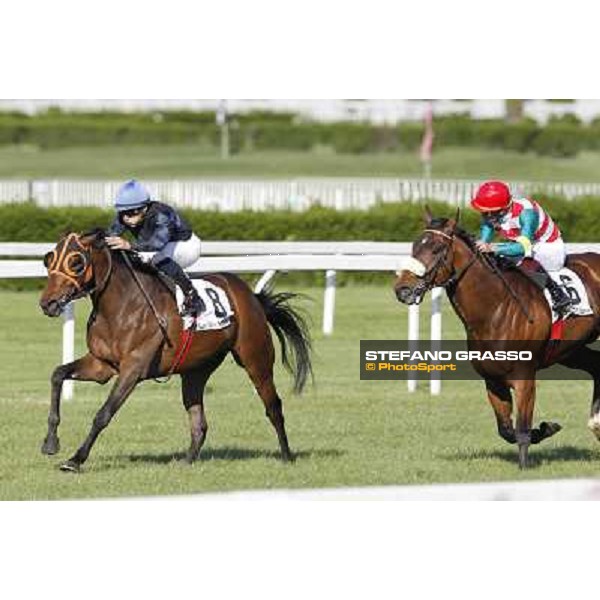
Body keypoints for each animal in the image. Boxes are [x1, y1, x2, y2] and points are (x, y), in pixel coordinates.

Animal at [38, 230, 314, 474]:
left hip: (256, 358)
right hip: (195, 371)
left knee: (273, 406)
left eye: (76, 261)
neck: (121, 306)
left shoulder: (132, 369)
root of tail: (251, 295)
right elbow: (57, 374)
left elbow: (103, 414)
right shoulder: (101, 365)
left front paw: (75, 460)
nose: (47, 303)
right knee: (199, 422)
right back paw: (187, 460)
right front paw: (50, 442)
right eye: (48, 259)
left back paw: (287, 456)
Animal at [394, 210, 600, 468]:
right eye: (414, 246)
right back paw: (596, 423)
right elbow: (506, 430)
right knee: (596, 366)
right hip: (571, 350)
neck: (495, 309)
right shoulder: (492, 379)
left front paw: (524, 466)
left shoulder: (524, 377)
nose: (402, 289)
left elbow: (521, 430)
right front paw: (546, 428)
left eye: (436, 248)